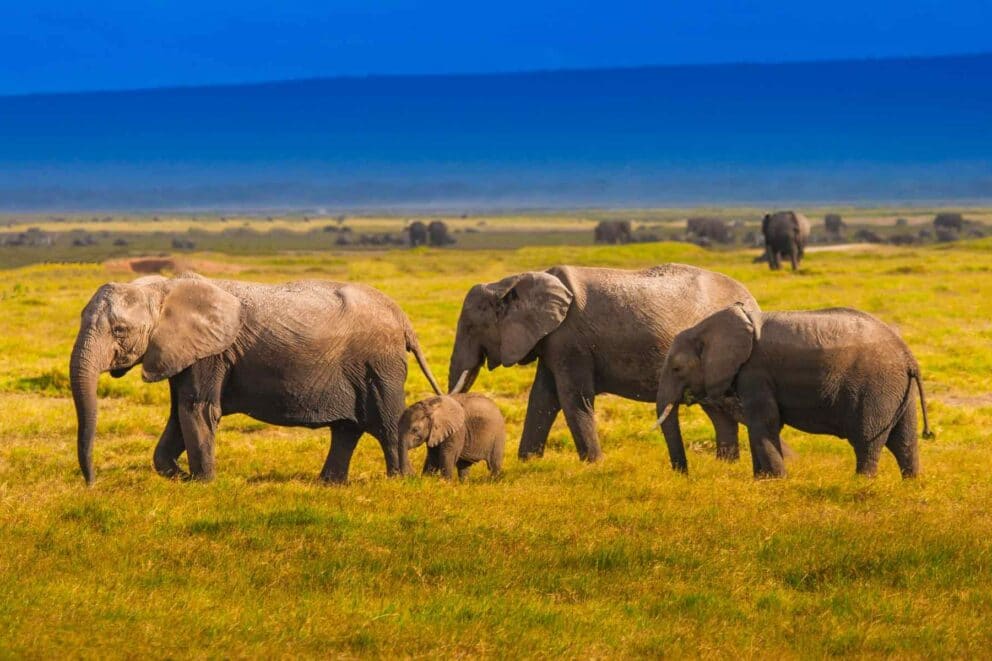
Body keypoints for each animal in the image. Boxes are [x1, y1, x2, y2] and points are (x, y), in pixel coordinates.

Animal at [69, 273, 442, 485]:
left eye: (119, 331)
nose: (92, 483)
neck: (162, 289)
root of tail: (403, 318)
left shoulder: (211, 352)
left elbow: (197, 410)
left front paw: (203, 483)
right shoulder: (182, 351)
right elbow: (179, 414)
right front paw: (179, 477)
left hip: (379, 365)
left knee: (386, 424)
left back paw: (400, 482)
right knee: (347, 428)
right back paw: (329, 484)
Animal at [447, 264, 761, 472]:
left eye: (471, 327)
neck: (512, 281)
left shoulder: (570, 339)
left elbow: (572, 398)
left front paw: (594, 466)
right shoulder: (552, 341)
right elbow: (542, 399)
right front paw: (528, 463)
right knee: (718, 411)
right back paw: (726, 467)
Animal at [656, 304, 933, 479]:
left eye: (677, 368)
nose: (685, 475)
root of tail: (909, 357)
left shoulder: (755, 372)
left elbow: (765, 421)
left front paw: (776, 481)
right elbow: (760, 423)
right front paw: (762, 481)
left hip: (877, 389)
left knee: (867, 440)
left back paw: (860, 483)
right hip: (897, 390)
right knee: (904, 440)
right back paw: (911, 485)